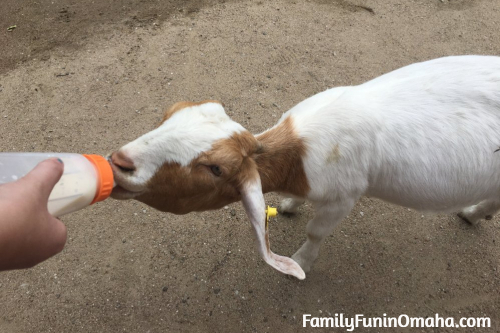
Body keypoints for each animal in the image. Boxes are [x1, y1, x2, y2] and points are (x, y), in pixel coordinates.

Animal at [111, 55, 500, 278]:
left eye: (216, 169)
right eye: (169, 113)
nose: (119, 163)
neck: (298, 154)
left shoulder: (344, 196)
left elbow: (316, 232)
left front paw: (301, 262)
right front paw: (289, 204)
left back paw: (472, 214)